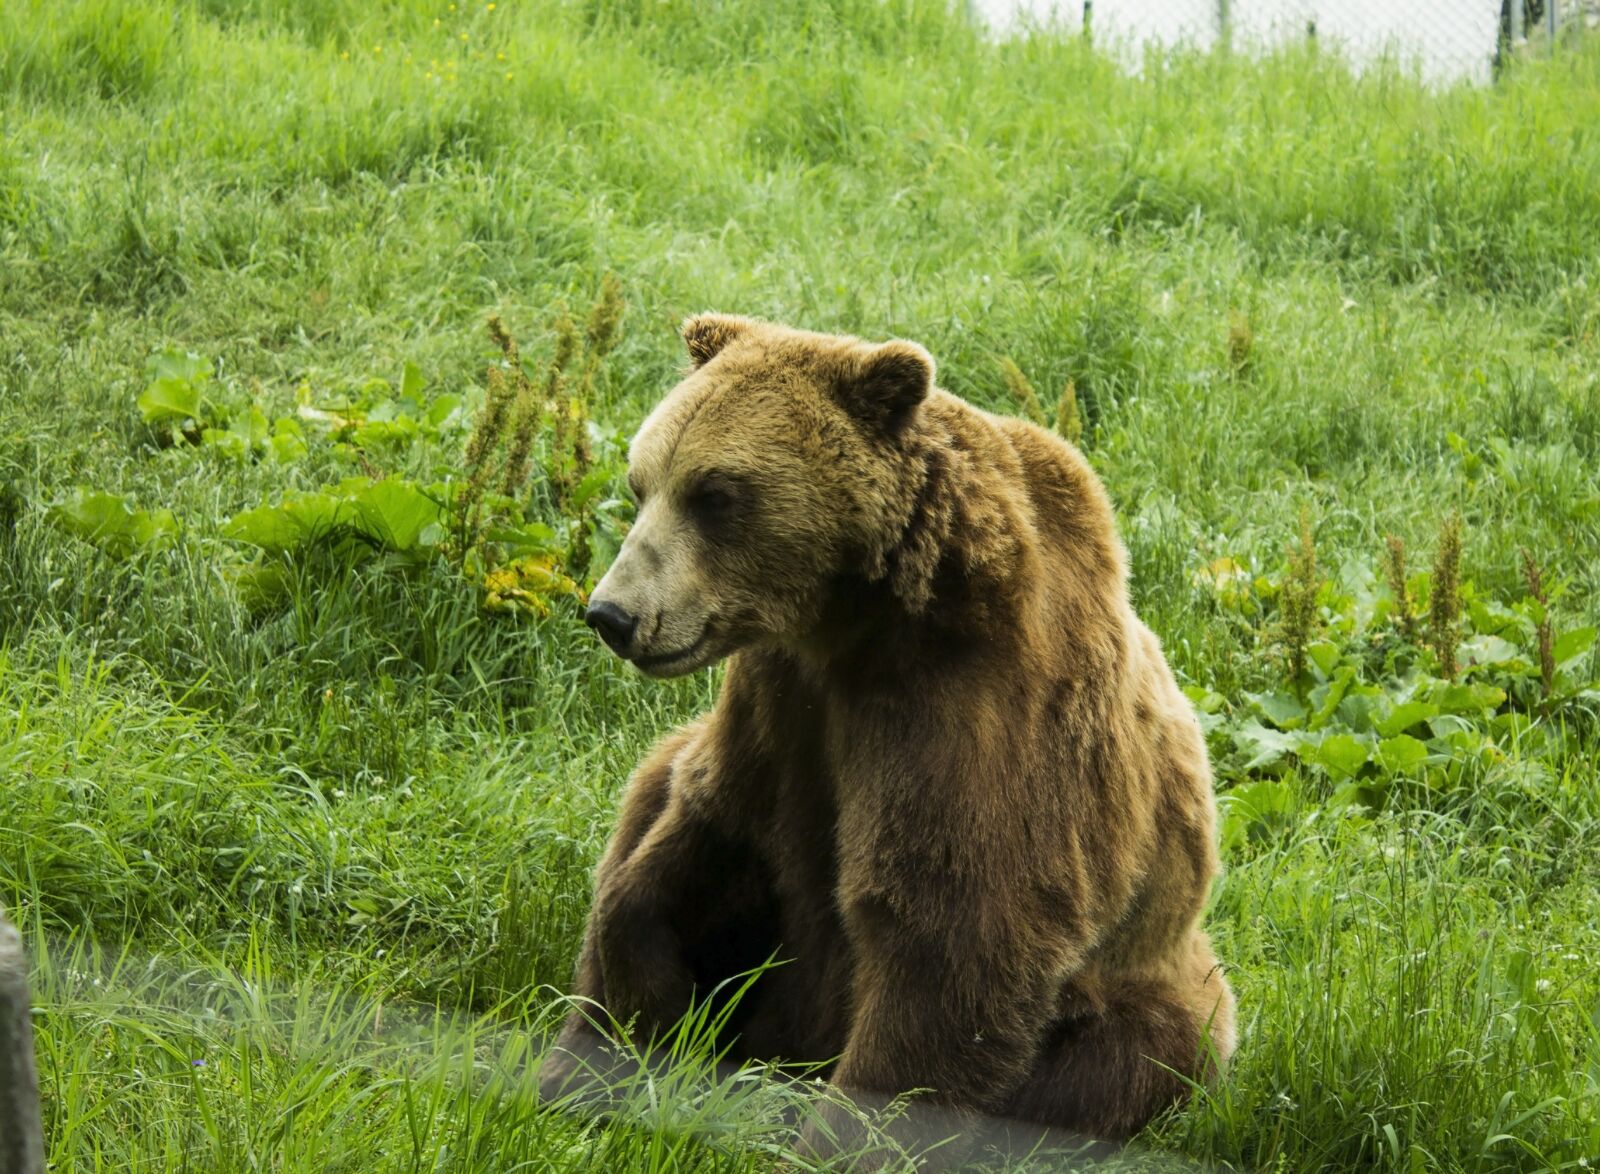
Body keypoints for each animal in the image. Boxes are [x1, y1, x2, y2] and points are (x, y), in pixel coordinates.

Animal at [538, 314, 1236, 1162]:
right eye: (642, 483)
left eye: (715, 493)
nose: (612, 614)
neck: (854, 620)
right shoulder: (781, 699)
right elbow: (703, 829)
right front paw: (647, 1011)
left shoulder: (971, 710)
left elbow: (955, 932)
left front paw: (835, 1140)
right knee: (654, 773)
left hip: (1147, 1003)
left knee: (1112, 1066)